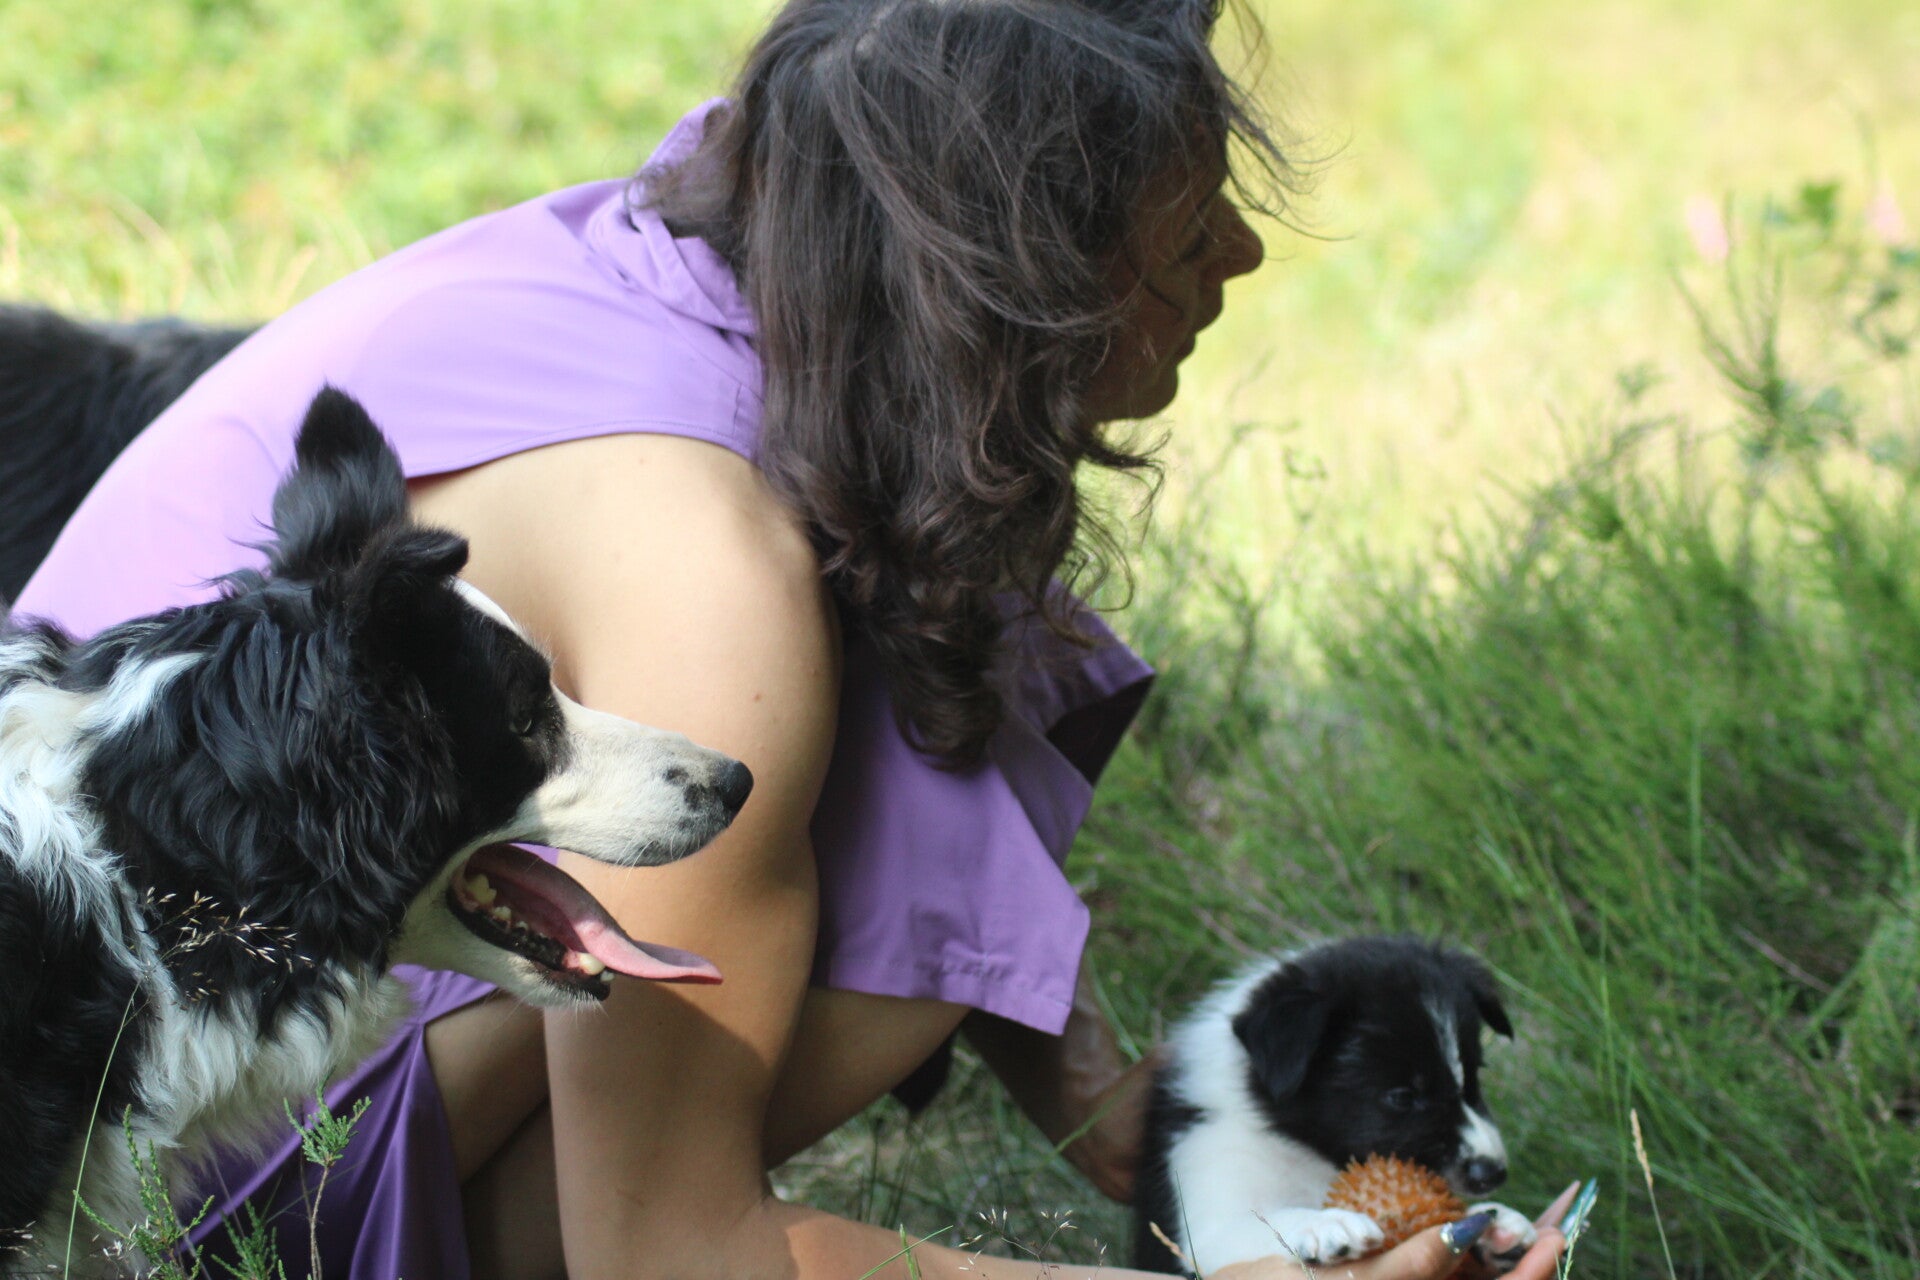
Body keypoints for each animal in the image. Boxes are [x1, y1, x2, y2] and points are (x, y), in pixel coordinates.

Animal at [1133, 936, 1537, 1275]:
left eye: (1472, 1076)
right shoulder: (1206, 1217)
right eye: (1402, 1097)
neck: (1305, 1151)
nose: (1493, 1173)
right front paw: (1323, 1223)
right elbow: (1256, 1224)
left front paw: (1496, 1226)